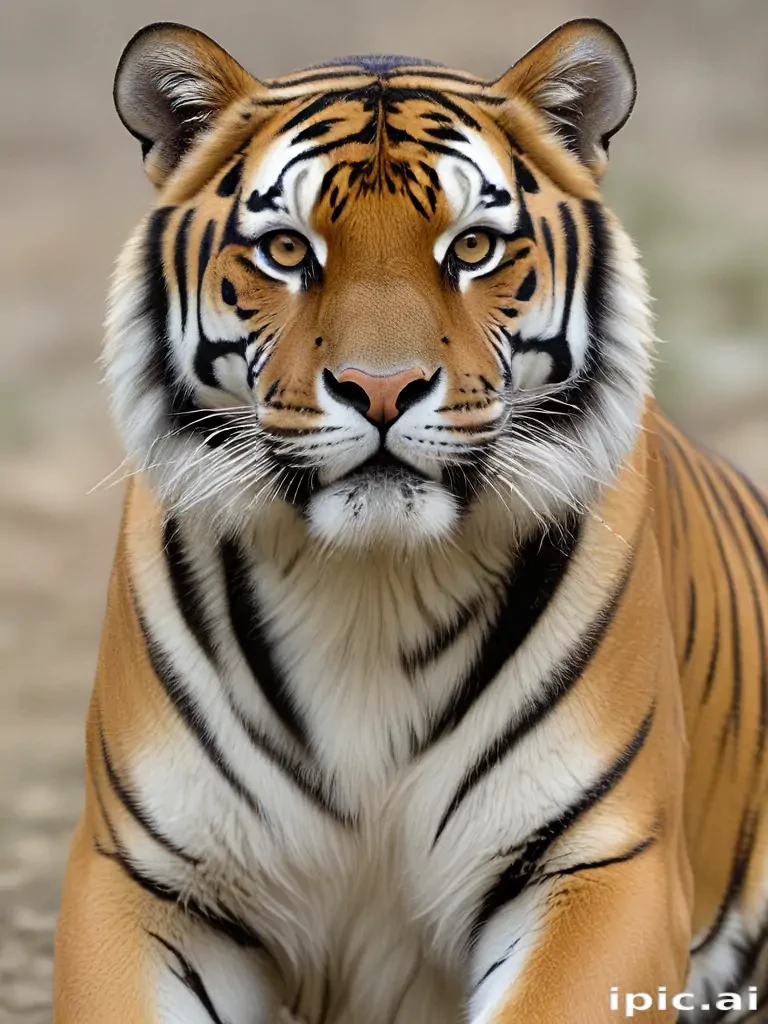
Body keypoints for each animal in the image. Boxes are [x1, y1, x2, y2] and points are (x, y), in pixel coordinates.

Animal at [51, 16, 768, 1024]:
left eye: (472, 249)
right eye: (287, 251)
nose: (381, 389)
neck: (369, 587)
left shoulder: (601, 862)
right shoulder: (144, 876)